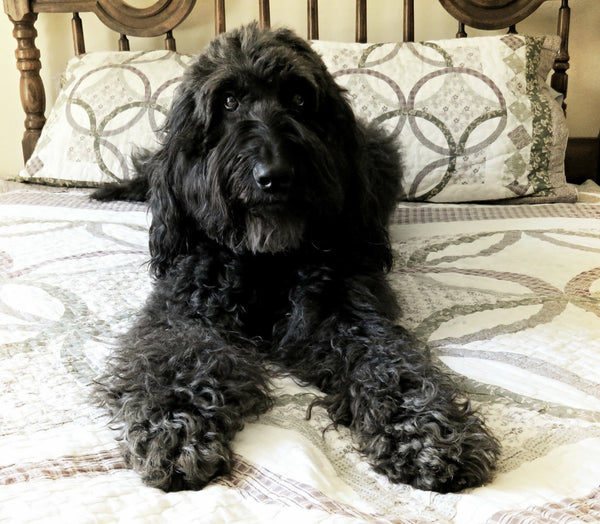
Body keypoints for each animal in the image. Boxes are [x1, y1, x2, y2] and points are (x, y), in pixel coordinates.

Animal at [92, 23, 496, 492]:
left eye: (300, 99)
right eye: (228, 101)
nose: (275, 176)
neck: (266, 260)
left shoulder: (344, 309)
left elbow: (388, 361)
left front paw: (423, 429)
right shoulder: (186, 310)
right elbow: (179, 356)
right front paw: (174, 426)